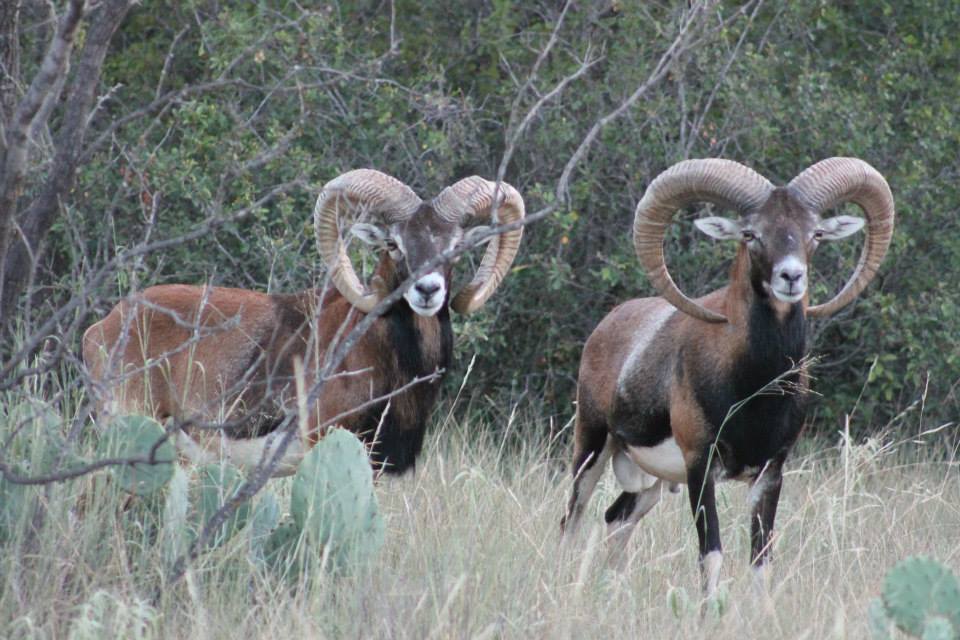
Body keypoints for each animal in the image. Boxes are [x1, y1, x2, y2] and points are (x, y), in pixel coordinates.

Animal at [560, 157, 894, 597]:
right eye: (751, 234)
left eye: (815, 233)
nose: (791, 277)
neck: (754, 391)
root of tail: (606, 328)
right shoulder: (700, 468)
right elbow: (712, 555)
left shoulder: (770, 475)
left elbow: (761, 561)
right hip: (592, 448)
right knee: (572, 520)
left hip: (653, 485)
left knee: (617, 518)